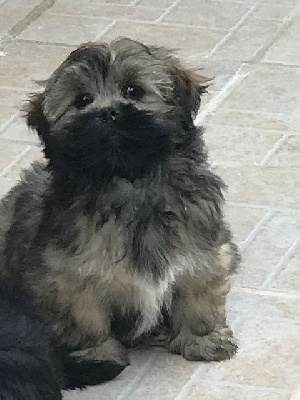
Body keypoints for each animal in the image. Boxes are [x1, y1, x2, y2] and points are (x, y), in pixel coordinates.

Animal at [0, 38, 240, 388]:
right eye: (82, 100)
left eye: (133, 90)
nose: (108, 112)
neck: (129, 184)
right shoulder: (66, 273)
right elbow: (85, 316)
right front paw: (98, 355)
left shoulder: (203, 248)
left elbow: (198, 293)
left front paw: (203, 339)